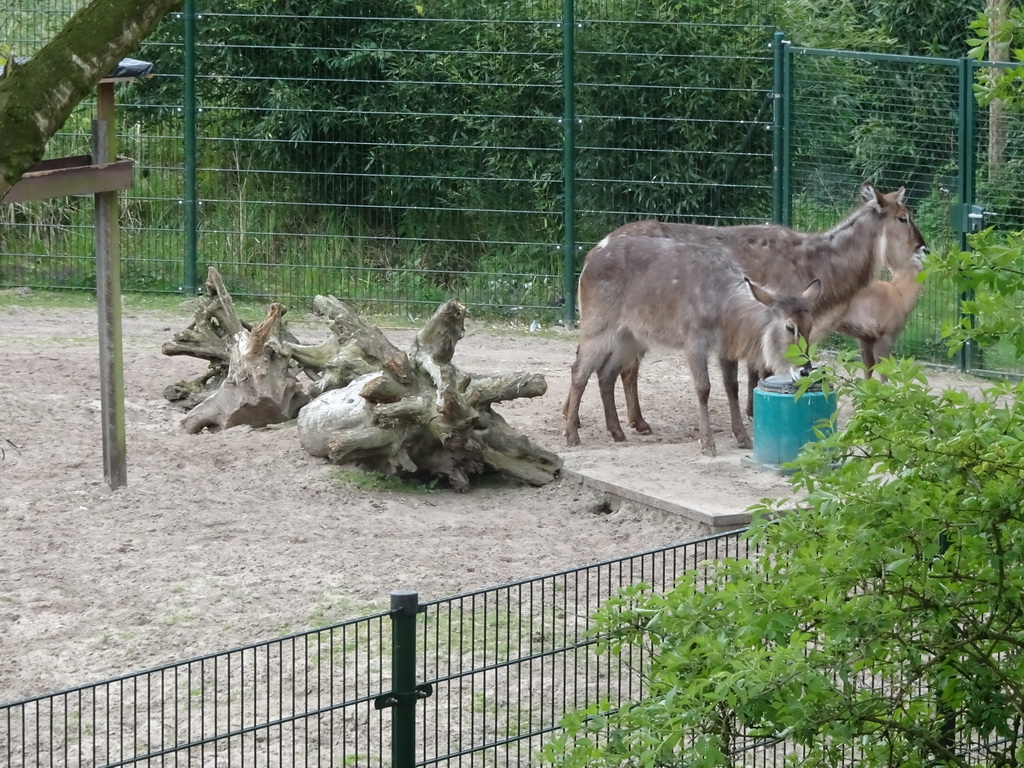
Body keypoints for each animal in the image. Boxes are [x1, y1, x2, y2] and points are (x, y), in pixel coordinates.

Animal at [565, 239, 819, 456]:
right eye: (790, 327)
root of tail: (589, 260)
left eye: (810, 325)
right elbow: (704, 388)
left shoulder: (725, 348)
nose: (805, 369)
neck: (723, 306)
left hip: (629, 337)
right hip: (597, 327)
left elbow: (732, 387)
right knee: (579, 370)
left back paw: (617, 432)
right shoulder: (694, 340)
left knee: (606, 373)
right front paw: (707, 443)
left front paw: (743, 438)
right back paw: (572, 435)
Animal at [585, 182, 929, 444]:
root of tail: (599, 245)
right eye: (903, 217)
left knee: (621, 369)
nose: (924, 249)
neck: (816, 261)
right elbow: (761, 371)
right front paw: (753, 414)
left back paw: (636, 424)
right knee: (623, 369)